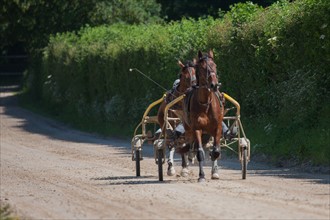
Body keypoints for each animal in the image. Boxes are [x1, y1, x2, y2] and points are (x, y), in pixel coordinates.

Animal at [182, 50, 226, 182]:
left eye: (214, 65)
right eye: (202, 68)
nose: (214, 85)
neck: (205, 103)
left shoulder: (217, 128)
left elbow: (216, 151)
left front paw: (215, 171)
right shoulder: (197, 128)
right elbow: (200, 152)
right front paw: (201, 175)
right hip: (188, 128)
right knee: (190, 144)